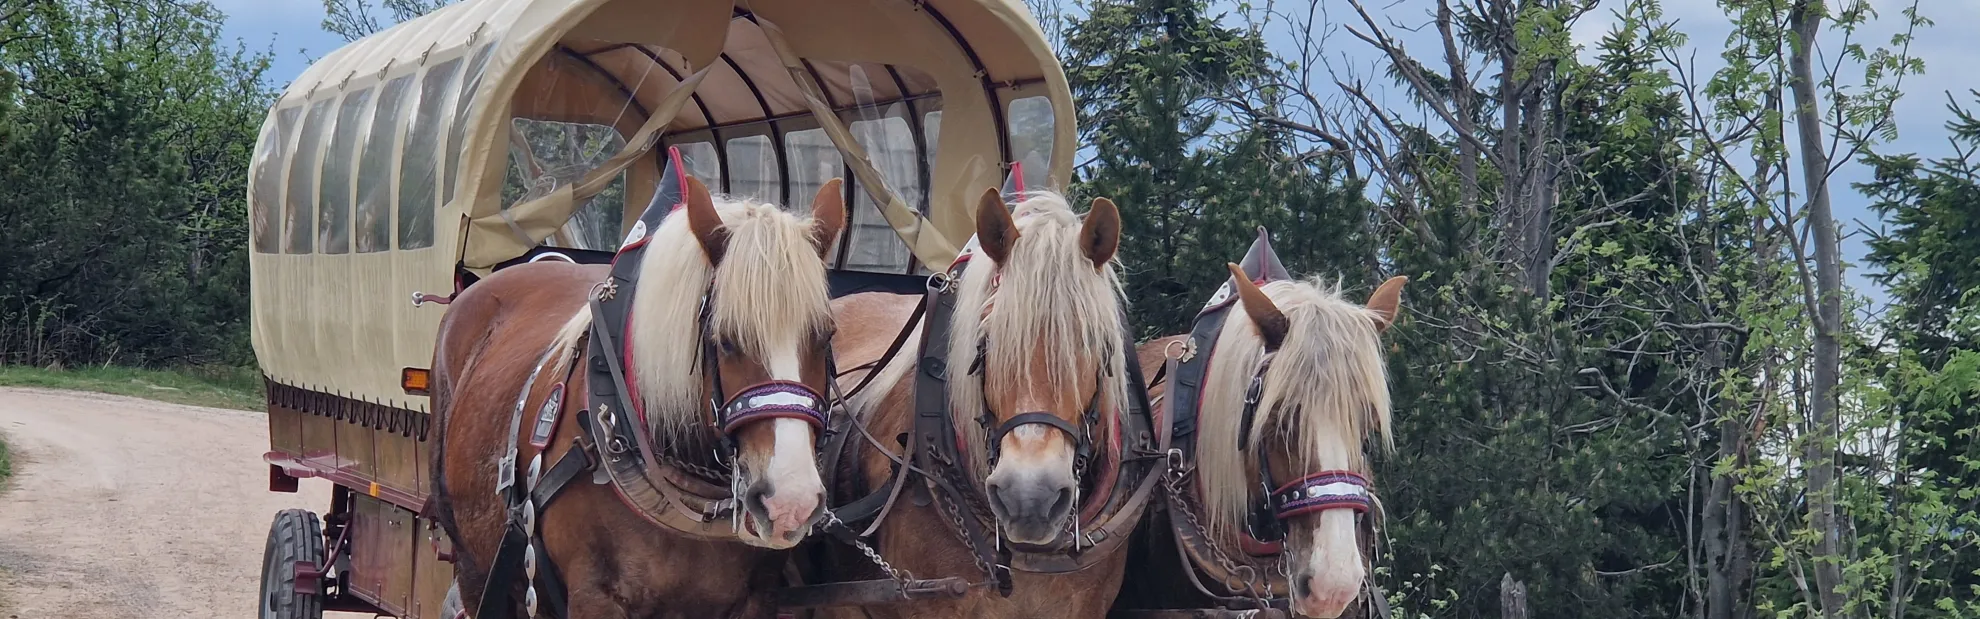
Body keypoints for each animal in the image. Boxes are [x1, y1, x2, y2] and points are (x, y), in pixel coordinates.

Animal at [428, 165, 848, 618]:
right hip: (474, 565)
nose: (790, 502)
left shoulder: (758, 599)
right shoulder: (595, 597)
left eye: (826, 335)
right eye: (726, 340)